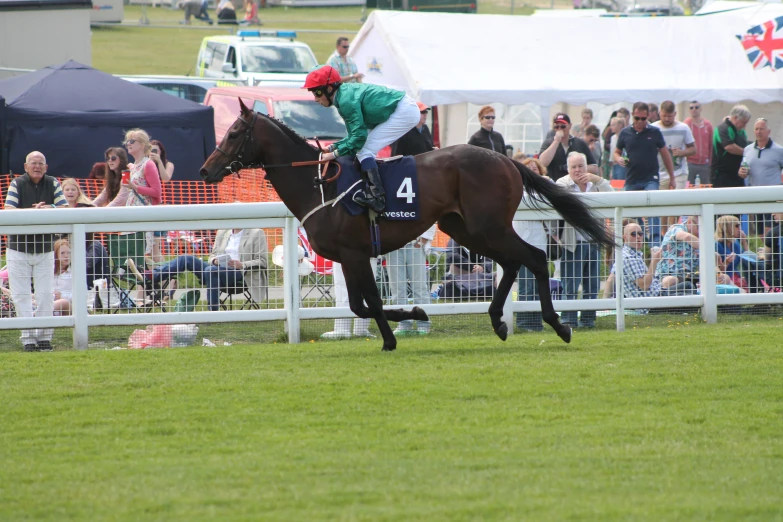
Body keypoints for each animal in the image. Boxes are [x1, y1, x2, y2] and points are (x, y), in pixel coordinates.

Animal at [199, 98, 616, 350]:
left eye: (233, 134)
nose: (205, 170)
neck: (318, 184)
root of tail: (507, 159)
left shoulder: (354, 253)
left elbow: (368, 303)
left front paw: (404, 324)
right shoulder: (350, 256)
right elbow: (359, 305)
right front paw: (399, 328)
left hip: (489, 226)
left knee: (534, 258)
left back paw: (557, 325)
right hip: (465, 229)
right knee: (515, 262)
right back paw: (499, 321)